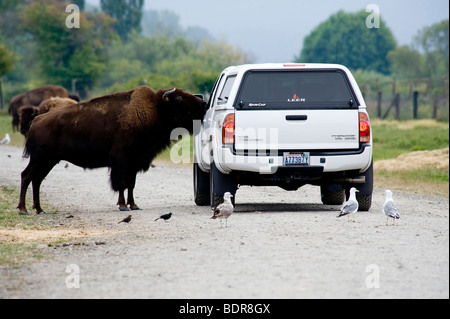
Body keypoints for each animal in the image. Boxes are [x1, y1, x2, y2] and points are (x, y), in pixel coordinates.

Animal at [17, 85, 207, 215]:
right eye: (179, 99)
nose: (204, 103)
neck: (155, 110)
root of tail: (36, 121)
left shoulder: (134, 162)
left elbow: (131, 184)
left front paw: (134, 205)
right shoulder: (122, 161)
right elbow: (121, 184)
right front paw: (123, 206)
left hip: (48, 161)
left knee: (36, 180)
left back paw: (39, 209)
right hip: (39, 159)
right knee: (26, 176)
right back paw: (23, 209)